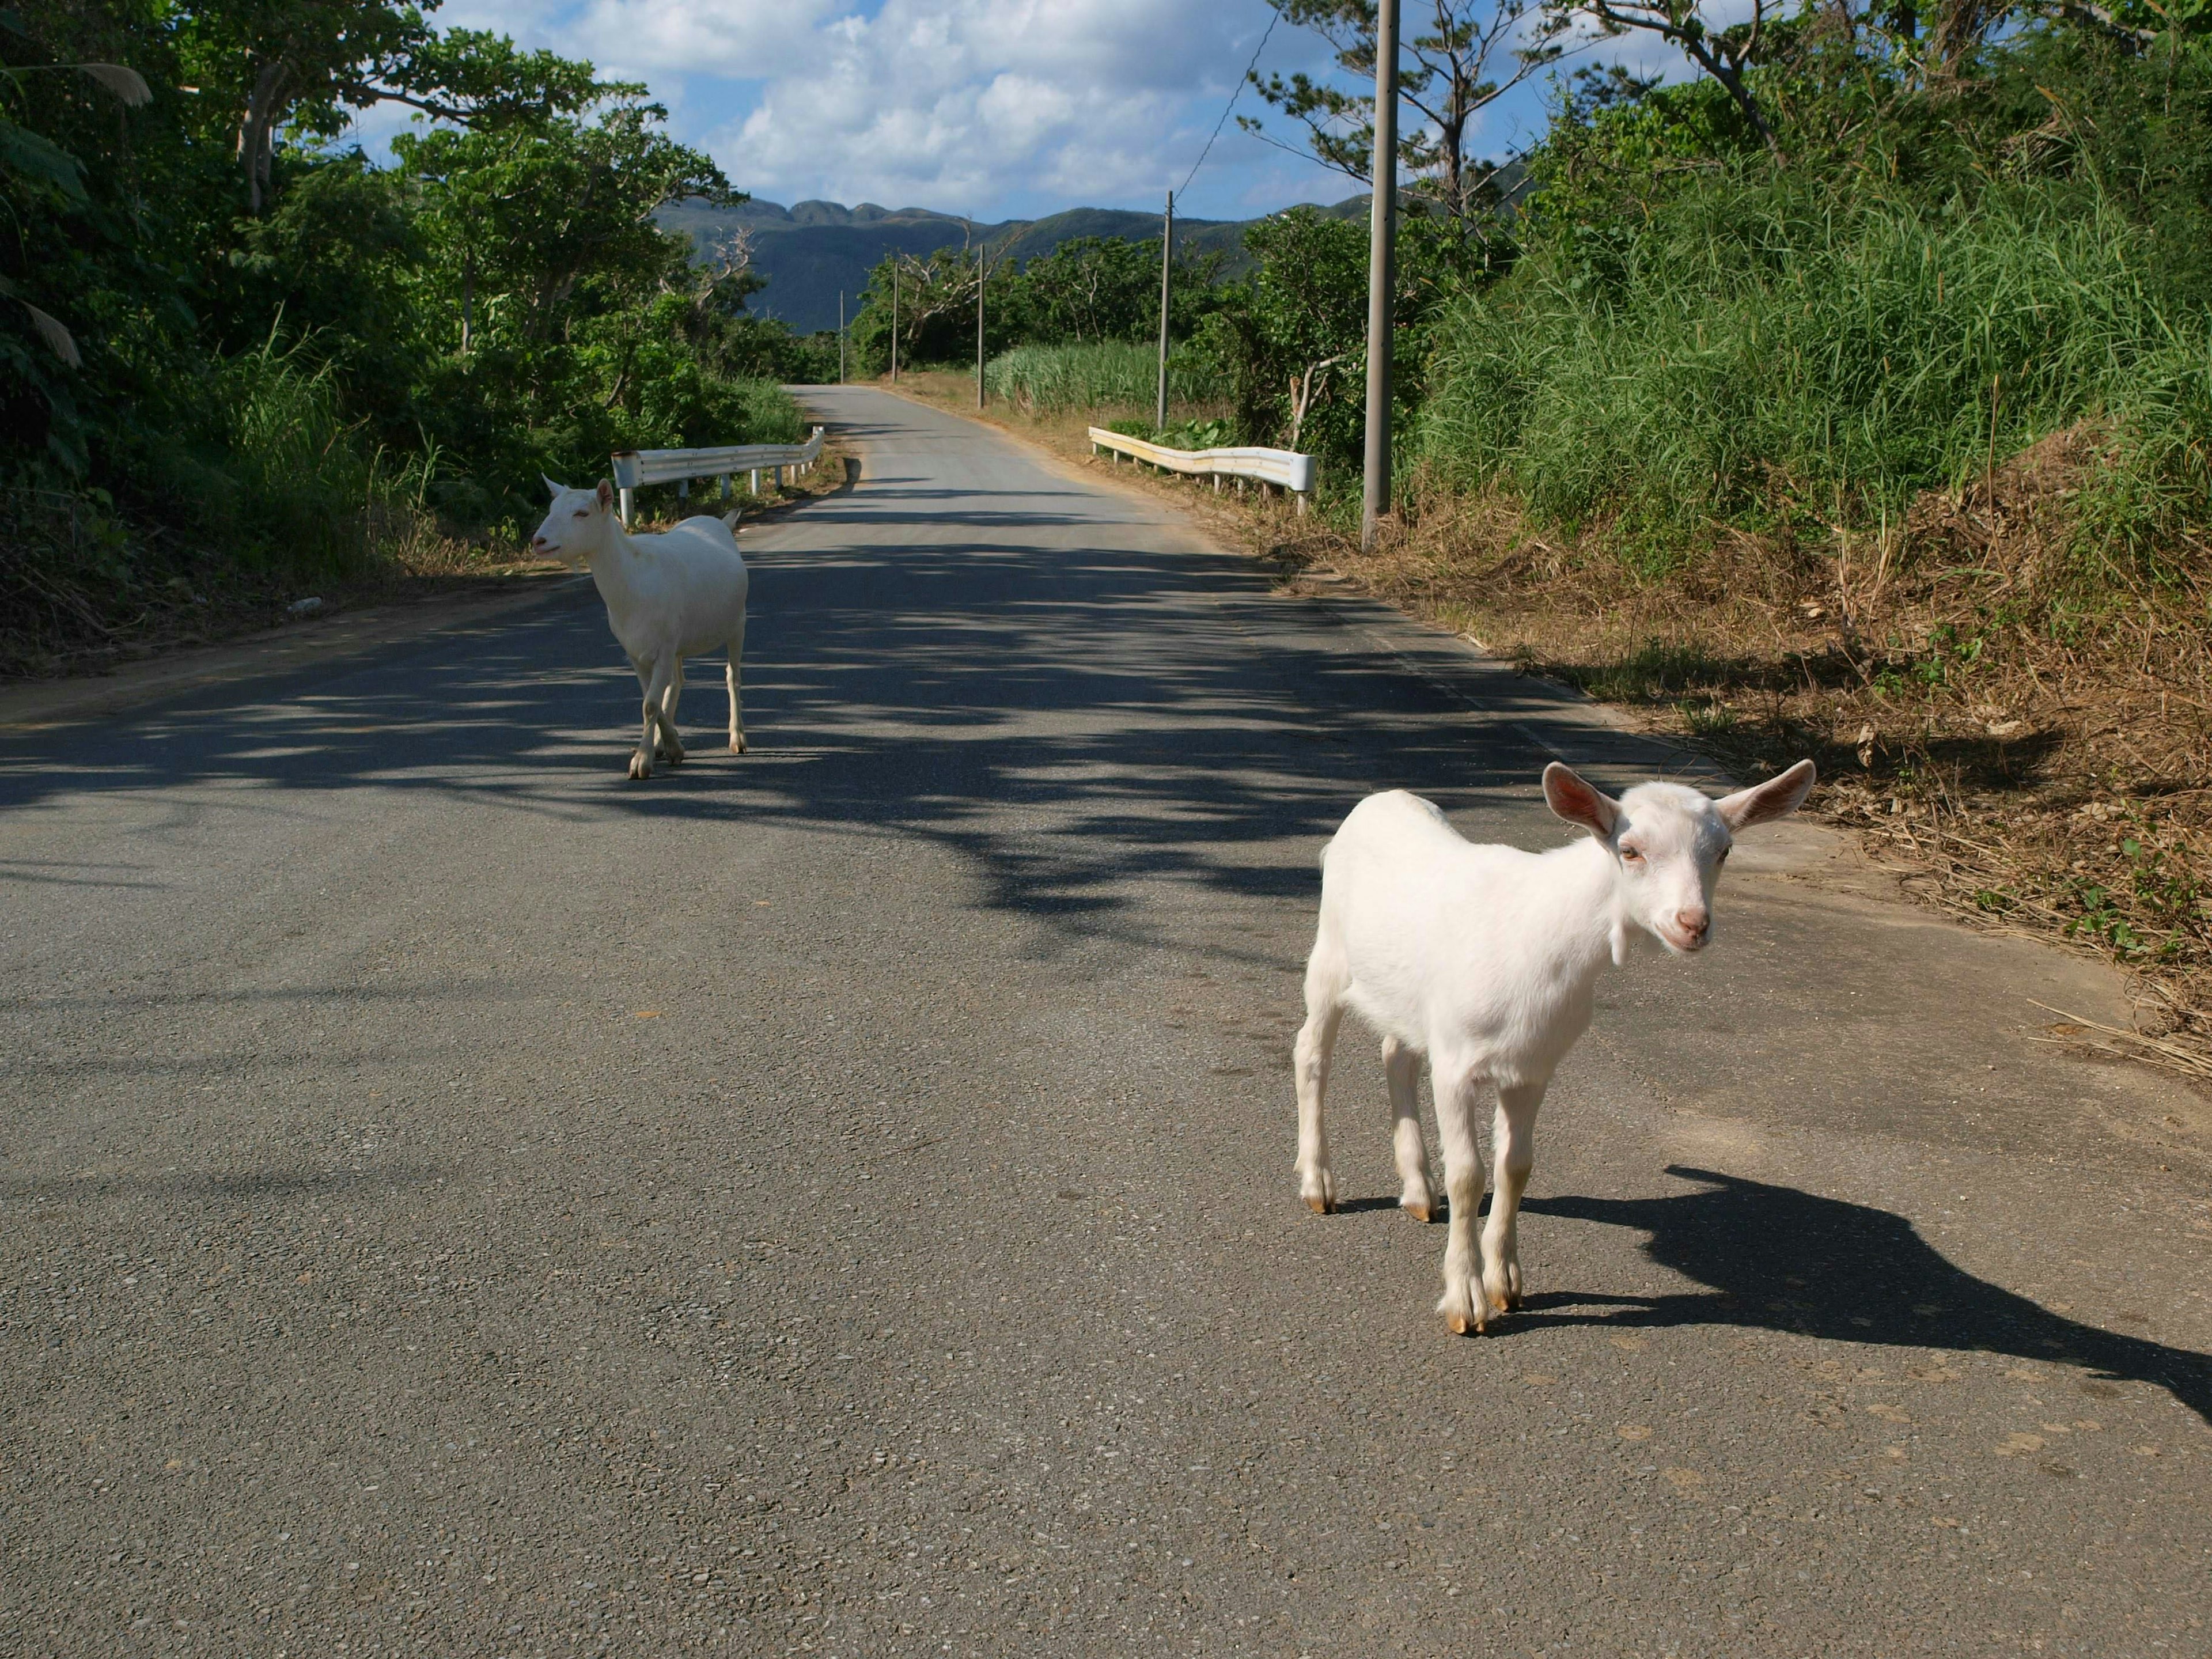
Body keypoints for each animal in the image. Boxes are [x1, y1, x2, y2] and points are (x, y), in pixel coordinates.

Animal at [528, 473, 752, 774]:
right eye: (552, 509)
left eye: (582, 513)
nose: (539, 541)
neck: (635, 579)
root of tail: (721, 523)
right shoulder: (636, 650)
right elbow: (650, 700)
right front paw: (670, 747)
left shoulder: (664, 647)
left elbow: (651, 704)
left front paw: (642, 762)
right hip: (678, 641)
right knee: (677, 681)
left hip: (737, 623)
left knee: (732, 677)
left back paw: (738, 738)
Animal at [1291, 765, 1813, 1336]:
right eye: (1630, 850)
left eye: (1724, 851)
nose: (1693, 924)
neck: (1546, 942)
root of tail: (1379, 800)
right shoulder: (1456, 1064)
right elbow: (1469, 1175)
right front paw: (1466, 1300)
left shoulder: (1532, 1067)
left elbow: (1515, 1168)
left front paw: (1506, 1284)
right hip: (1330, 955)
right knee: (1311, 1052)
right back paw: (1319, 1184)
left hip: (1406, 994)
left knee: (1397, 1054)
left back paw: (1418, 1192)